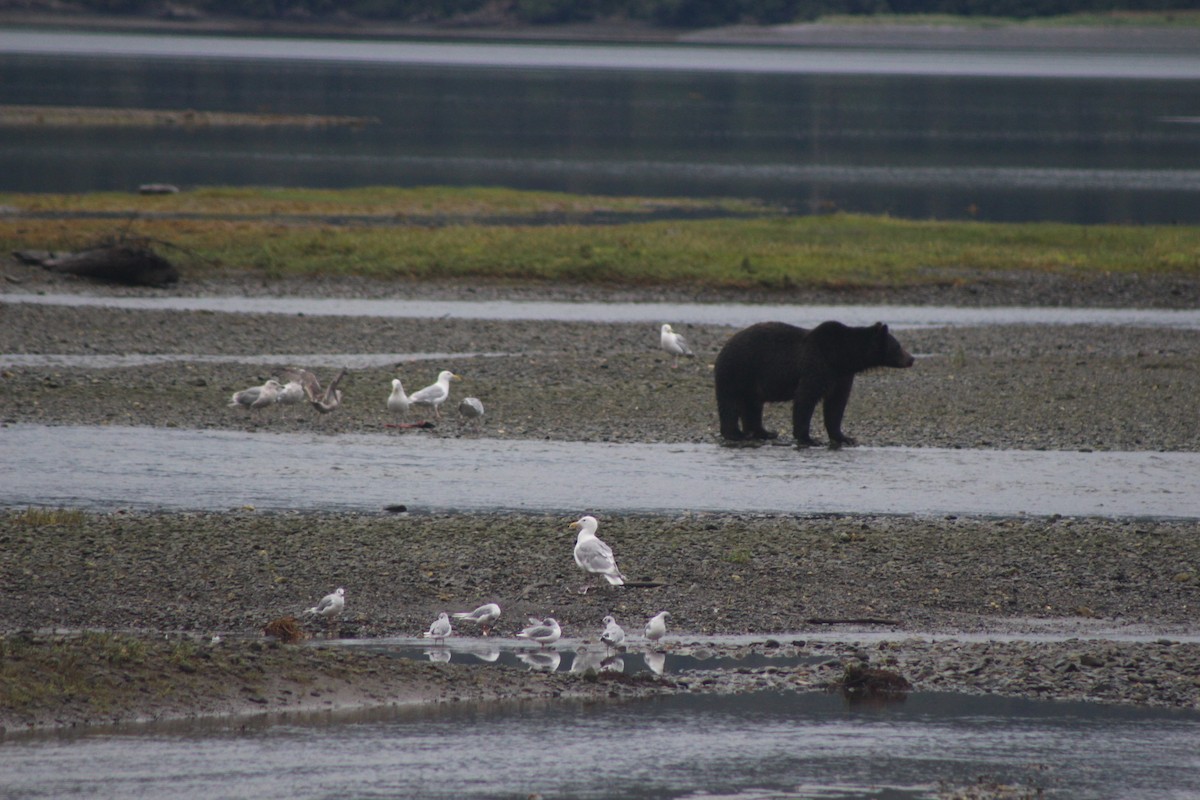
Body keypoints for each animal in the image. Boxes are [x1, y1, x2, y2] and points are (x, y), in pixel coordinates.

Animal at [710, 321, 916, 448]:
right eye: (898, 346)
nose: (912, 358)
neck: (842, 356)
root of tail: (723, 347)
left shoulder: (841, 376)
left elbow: (836, 404)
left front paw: (845, 437)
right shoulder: (817, 364)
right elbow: (806, 397)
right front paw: (809, 438)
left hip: (751, 380)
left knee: (753, 405)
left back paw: (764, 432)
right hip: (738, 370)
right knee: (730, 402)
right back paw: (737, 433)